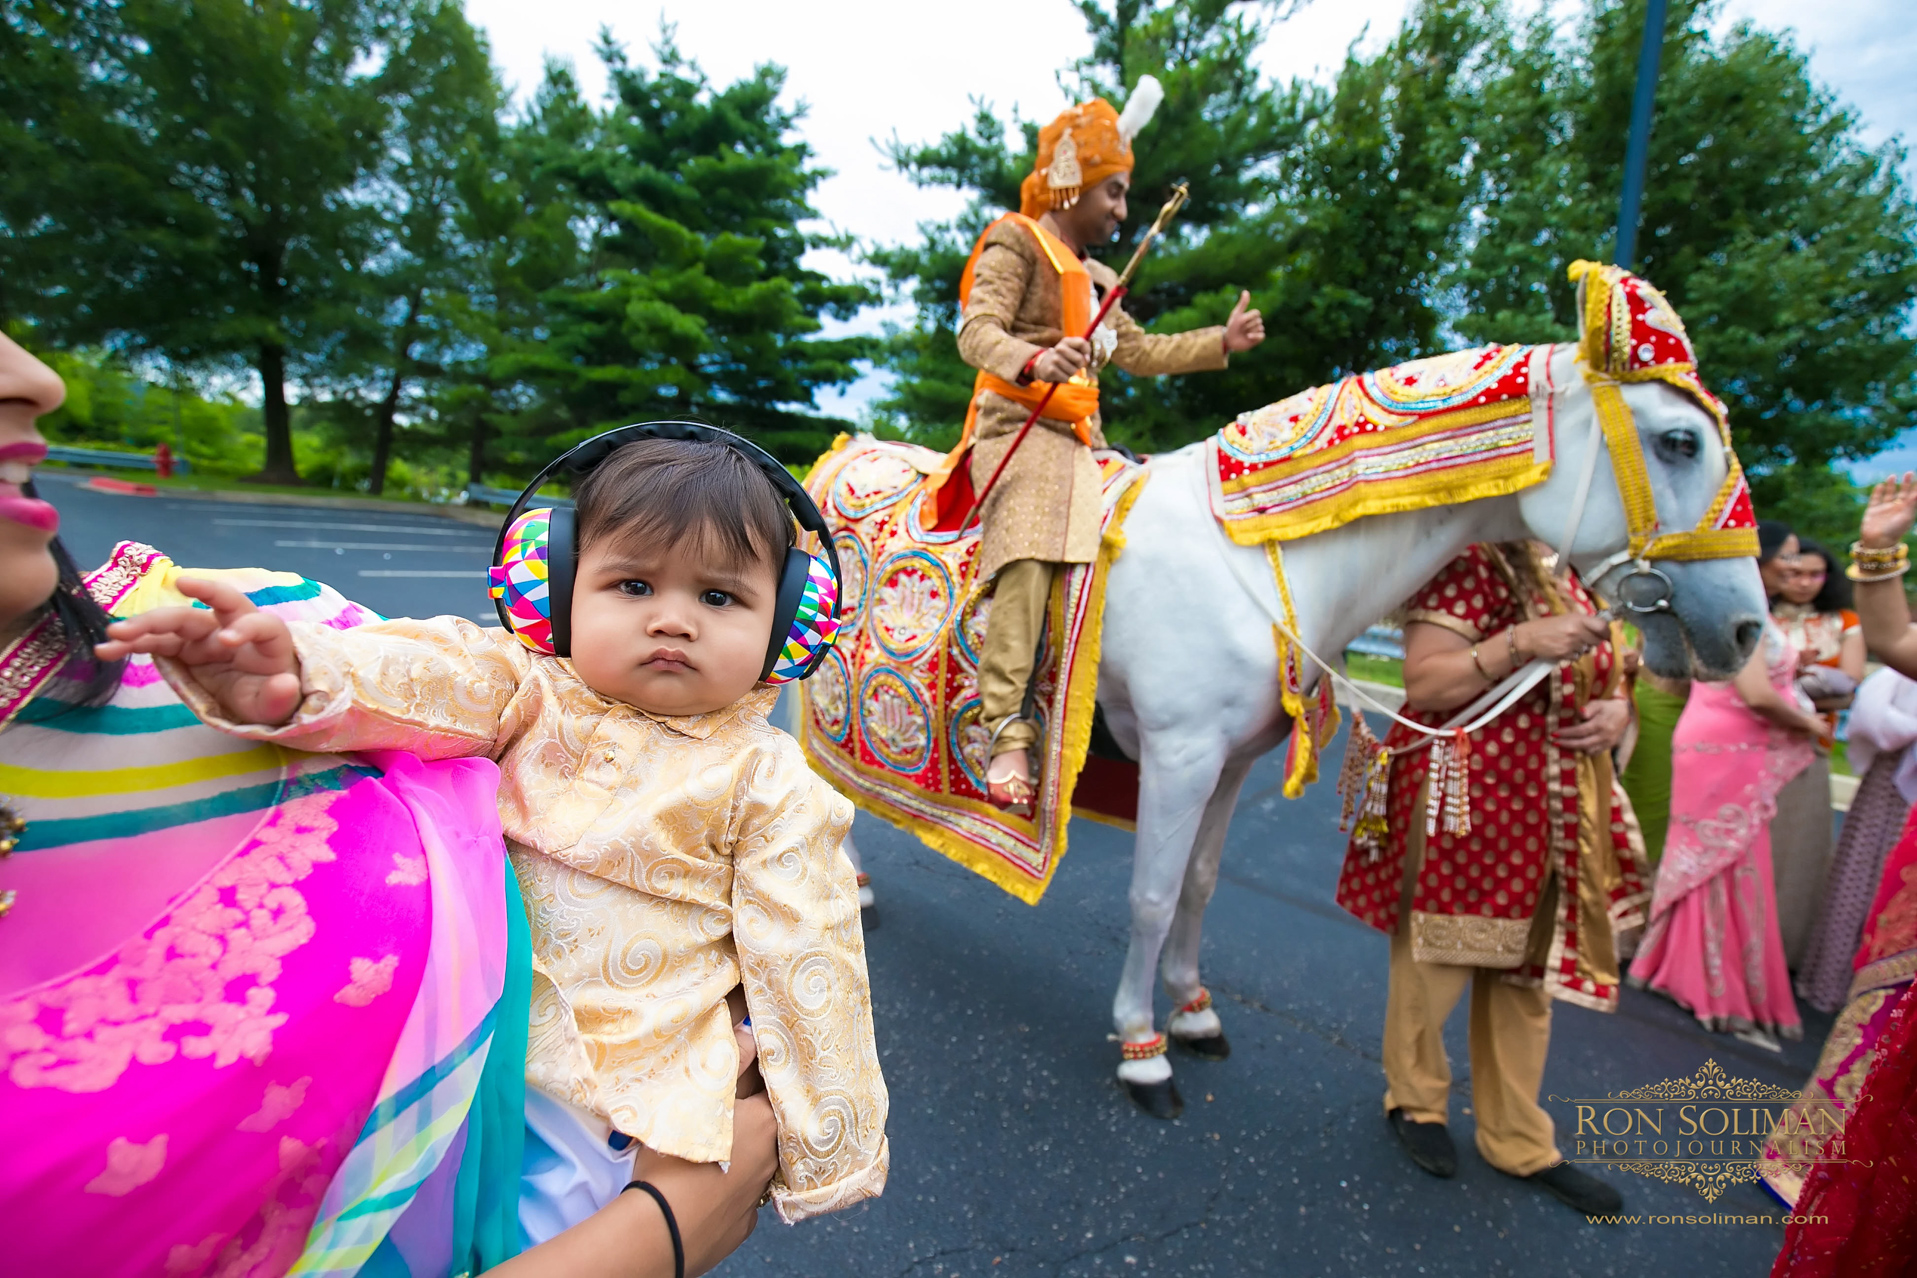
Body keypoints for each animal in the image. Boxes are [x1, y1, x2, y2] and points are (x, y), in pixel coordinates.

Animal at [839, 342, 1763, 1118]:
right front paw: (1141, 1045)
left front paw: (1193, 1011)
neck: (1251, 556)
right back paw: (859, 887)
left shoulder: (1231, 763)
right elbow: (1150, 897)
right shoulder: (1178, 755)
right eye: (1678, 441)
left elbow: (1198, 885)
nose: (1746, 630)